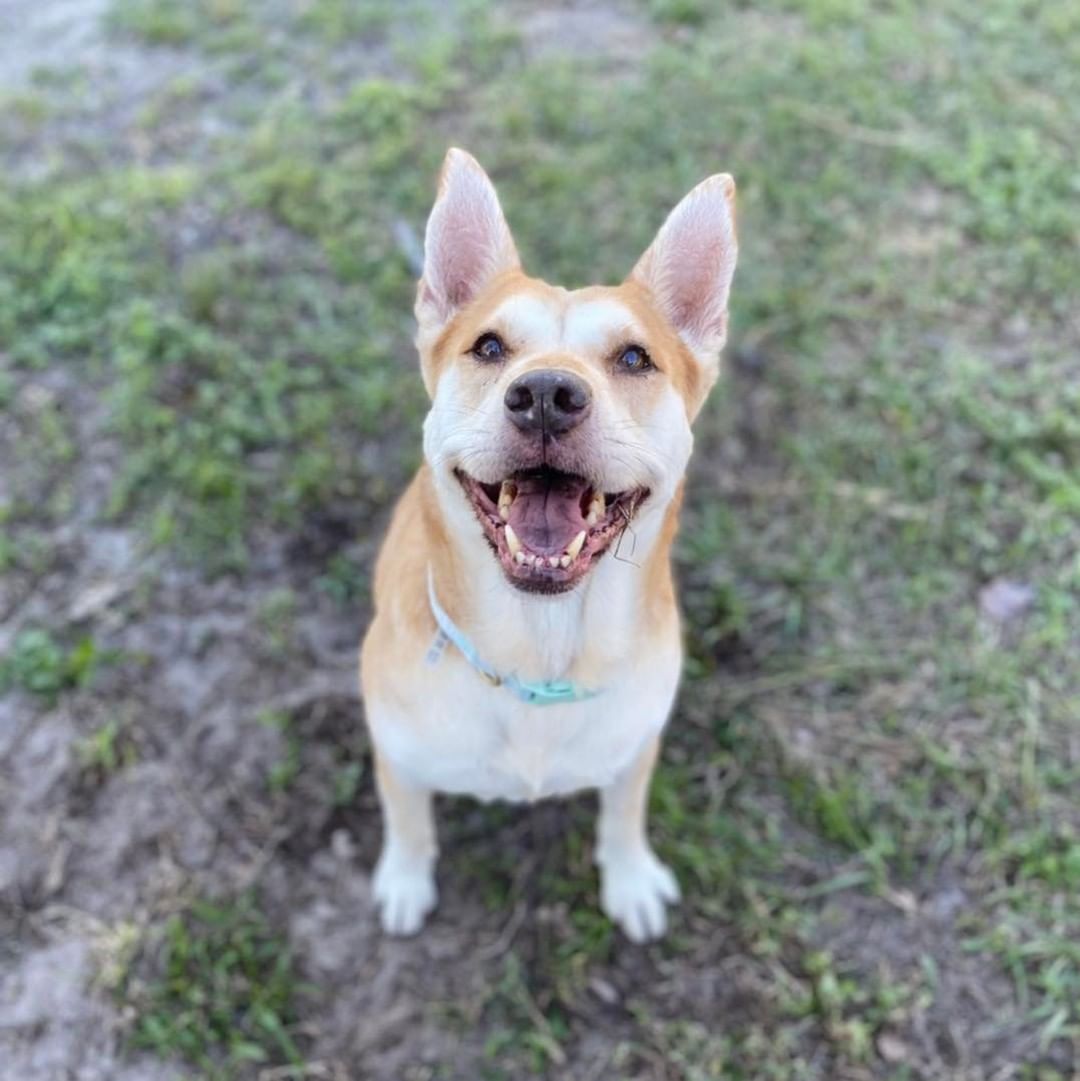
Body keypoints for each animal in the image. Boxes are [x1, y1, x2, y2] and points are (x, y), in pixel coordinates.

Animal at [358, 148, 739, 942]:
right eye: (489, 347)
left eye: (635, 358)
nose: (544, 397)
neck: (541, 649)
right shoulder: (397, 755)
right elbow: (408, 824)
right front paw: (405, 881)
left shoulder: (635, 749)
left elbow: (622, 817)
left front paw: (630, 879)